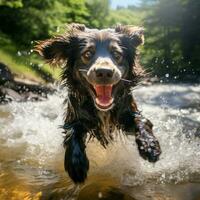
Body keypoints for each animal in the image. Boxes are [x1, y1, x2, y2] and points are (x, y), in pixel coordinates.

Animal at [35, 23, 162, 183]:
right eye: (87, 53)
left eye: (117, 54)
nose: (104, 72)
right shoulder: (75, 116)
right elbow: (72, 131)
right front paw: (76, 162)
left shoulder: (127, 112)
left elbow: (141, 121)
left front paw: (149, 145)